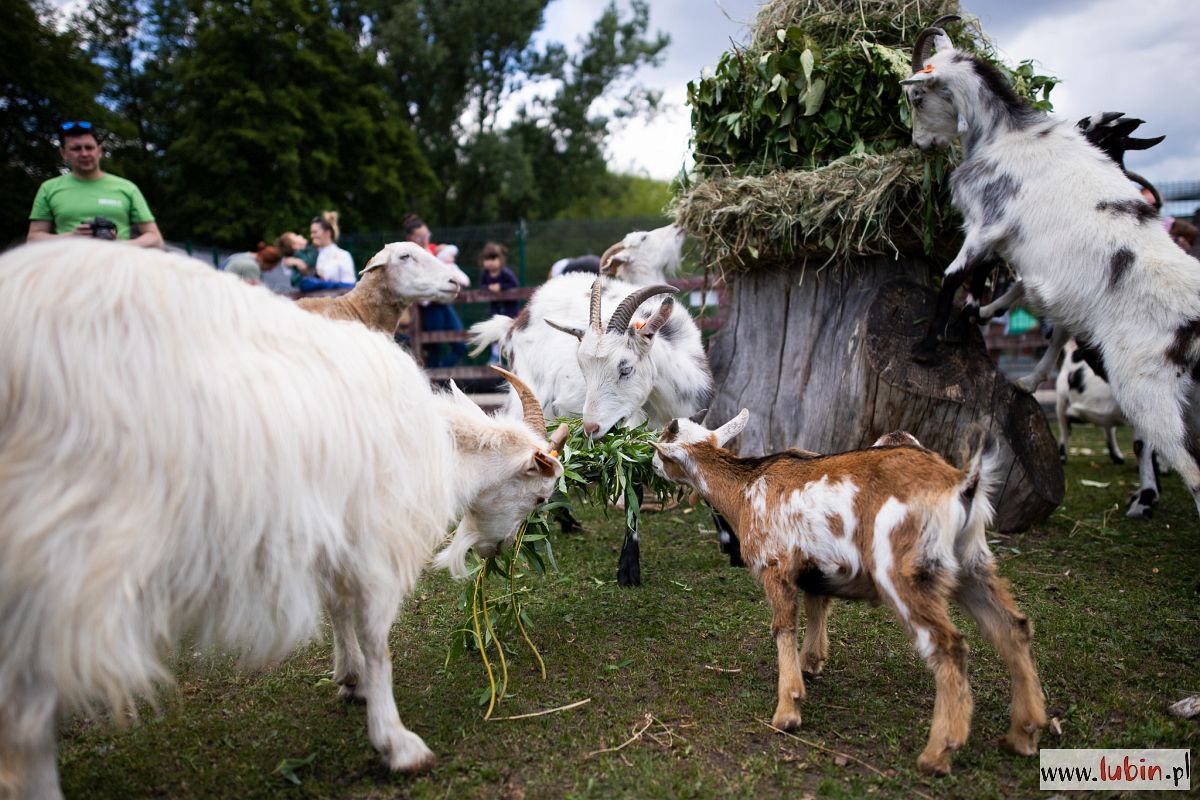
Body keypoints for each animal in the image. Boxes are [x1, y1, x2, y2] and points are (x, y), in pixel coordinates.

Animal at [902, 18, 1200, 522]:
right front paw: (966, 325)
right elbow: (987, 285)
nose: (920, 144)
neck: (1003, 133)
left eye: (917, 97)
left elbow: (955, 276)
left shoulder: (986, 224)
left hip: (1149, 390)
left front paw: (927, 346)